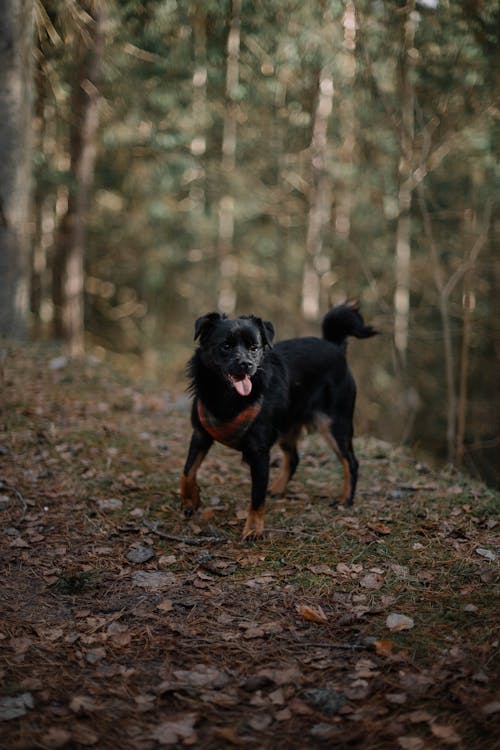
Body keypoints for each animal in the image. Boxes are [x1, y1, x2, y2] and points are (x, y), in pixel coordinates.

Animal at [180, 302, 376, 536]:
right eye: (225, 346)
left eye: (254, 348)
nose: (246, 364)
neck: (228, 396)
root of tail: (335, 346)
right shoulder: (200, 434)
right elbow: (187, 471)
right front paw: (191, 499)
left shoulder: (259, 452)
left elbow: (256, 497)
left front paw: (253, 529)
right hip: (287, 425)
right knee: (293, 458)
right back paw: (277, 489)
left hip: (334, 425)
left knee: (351, 462)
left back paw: (345, 500)